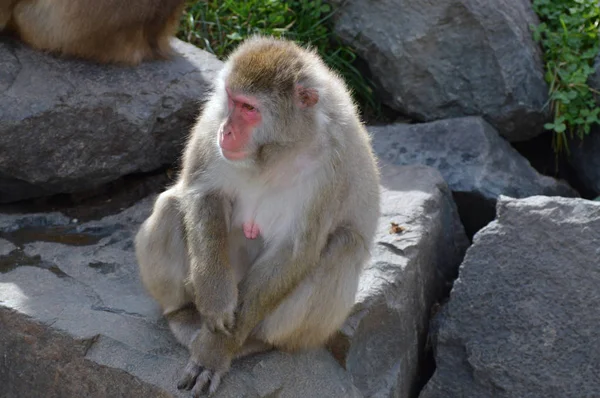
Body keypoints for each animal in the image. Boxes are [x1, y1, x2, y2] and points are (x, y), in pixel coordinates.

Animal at [135, 36, 380, 394]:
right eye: (232, 100)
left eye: (249, 109)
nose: (227, 131)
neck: (278, 148)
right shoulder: (211, 118)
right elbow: (204, 193)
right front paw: (215, 299)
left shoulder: (332, 163)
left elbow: (295, 250)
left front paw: (216, 351)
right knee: (170, 205)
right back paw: (182, 314)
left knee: (343, 245)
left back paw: (254, 343)